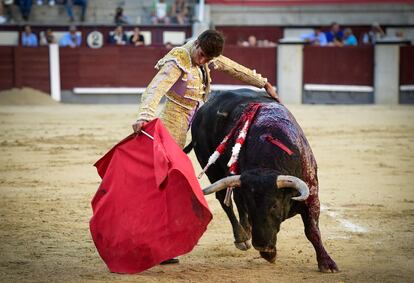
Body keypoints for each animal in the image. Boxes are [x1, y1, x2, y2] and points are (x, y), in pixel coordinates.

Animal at [186, 89, 338, 272]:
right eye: (251, 206)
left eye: (274, 205)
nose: (262, 246)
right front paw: (269, 254)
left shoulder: (312, 195)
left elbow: (312, 230)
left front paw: (327, 263)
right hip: (212, 168)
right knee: (224, 200)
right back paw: (242, 237)